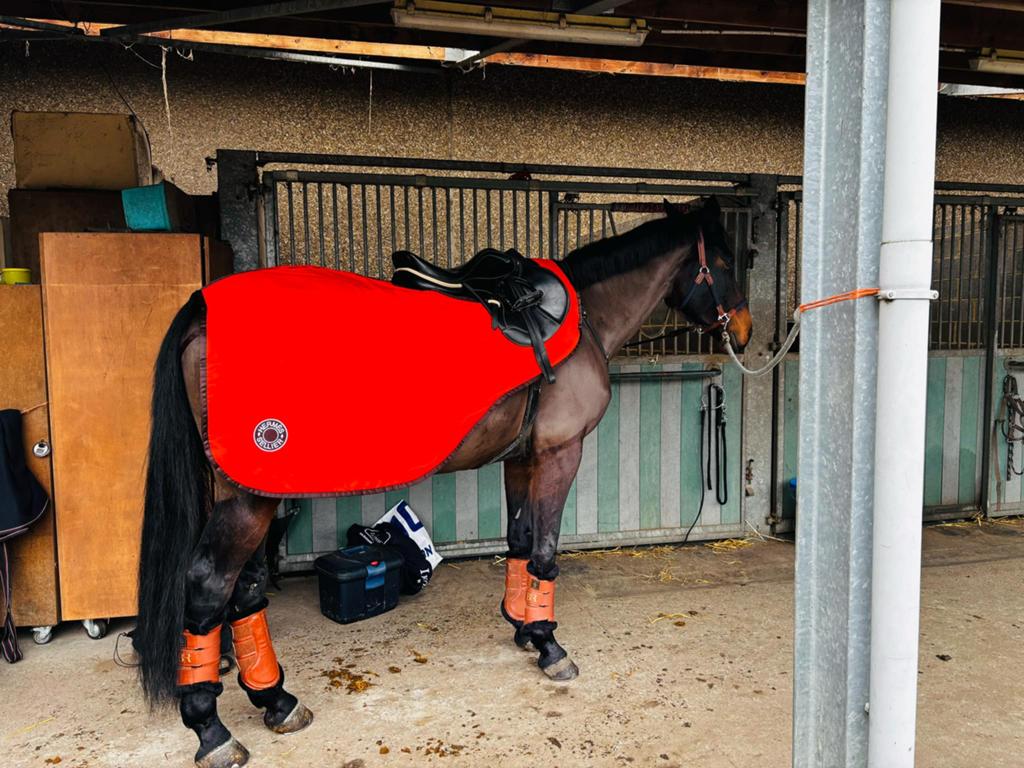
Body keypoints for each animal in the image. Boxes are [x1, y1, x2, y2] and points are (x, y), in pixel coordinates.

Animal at [134, 196, 752, 768]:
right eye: (725, 260)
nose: (744, 331)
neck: (581, 322)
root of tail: (202, 307)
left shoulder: (521, 458)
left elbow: (520, 541)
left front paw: (523, 627)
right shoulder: (560, 454)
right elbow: (546, 551)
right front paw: (550, 645)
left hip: (244, 491)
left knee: (242, 591)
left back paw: (276, 701)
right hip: (249, 498)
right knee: (209, 585)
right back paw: (212, 729)